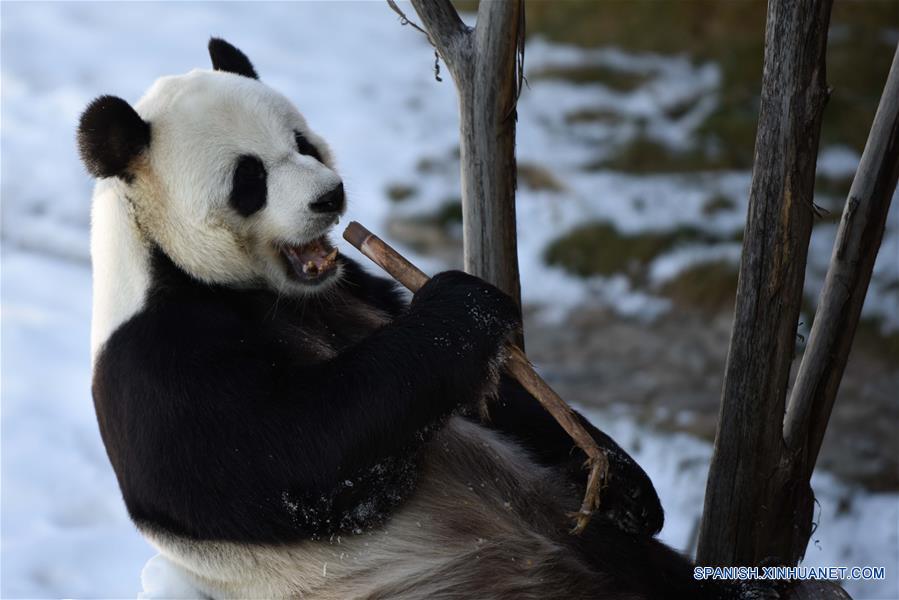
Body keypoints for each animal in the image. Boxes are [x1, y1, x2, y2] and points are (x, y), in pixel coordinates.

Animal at [79, 38, 756, 600]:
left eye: (302, 142)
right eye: (250, 178)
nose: (329, 195)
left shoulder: (350, 289)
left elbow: (493, 397)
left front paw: (623, 480)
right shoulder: (160, 362)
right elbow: (297, 456)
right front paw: (463, 303)